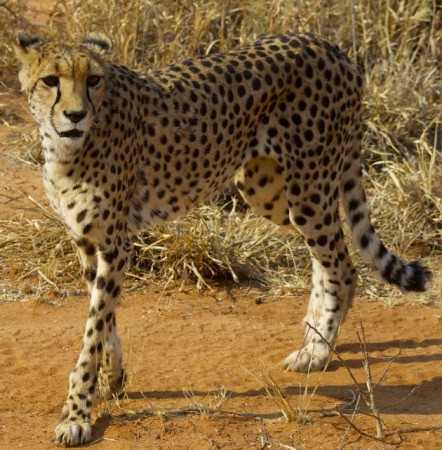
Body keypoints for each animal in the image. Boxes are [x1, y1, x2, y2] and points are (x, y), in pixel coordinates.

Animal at [15, 32, 430, 446]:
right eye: (51, 80)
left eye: (93, 80)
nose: (75, 115)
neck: (69, 146)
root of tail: (326, 44)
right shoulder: (88, 238)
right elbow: (103, 320)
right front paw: (111, 378)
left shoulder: (115, 243)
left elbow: (94, 328)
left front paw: (77, 413)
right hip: (267, 190)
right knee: (325, 258)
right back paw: (313, 331)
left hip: (308, 187)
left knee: (342, 266)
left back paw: (318, 351)